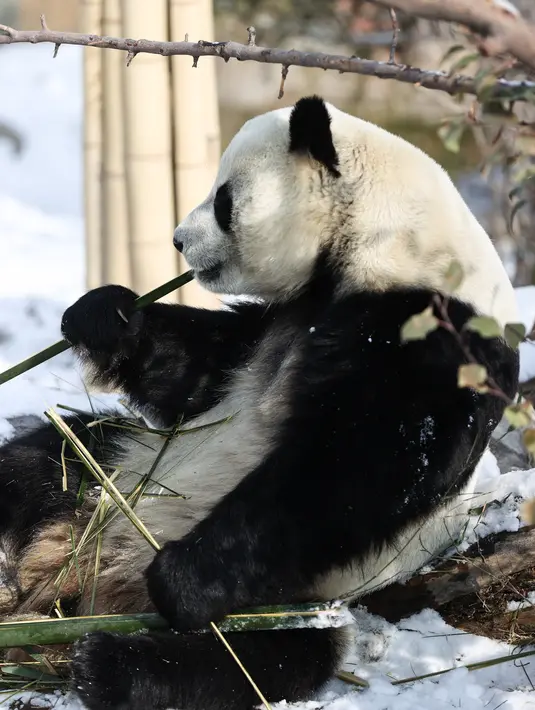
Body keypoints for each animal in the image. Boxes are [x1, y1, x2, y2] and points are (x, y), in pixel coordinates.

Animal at [0, 95, 519, 710]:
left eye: (224, 200)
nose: (178, 240)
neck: (387, 239)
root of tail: (91, 584)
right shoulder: (281, 319)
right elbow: (195, 374)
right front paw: (103, 315)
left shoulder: (435, 333)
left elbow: (359, 470)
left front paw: (179, 576)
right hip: (111, 476)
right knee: (44, 460)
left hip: (293, 599)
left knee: (250, 660)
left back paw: (107, 659)